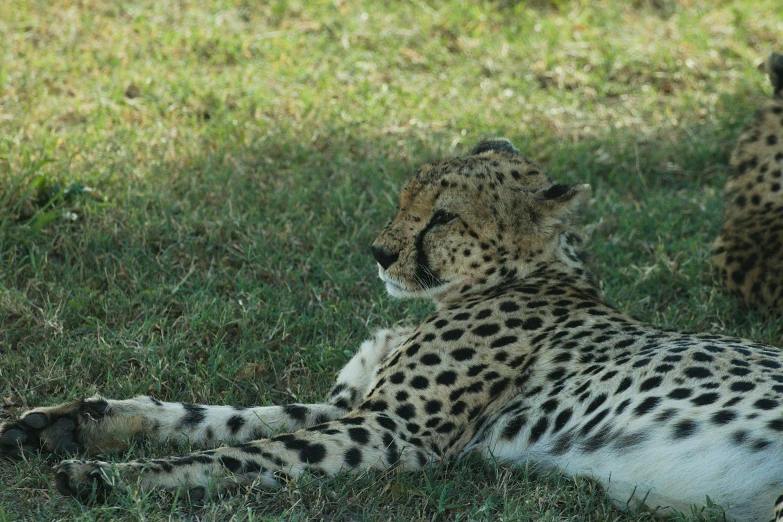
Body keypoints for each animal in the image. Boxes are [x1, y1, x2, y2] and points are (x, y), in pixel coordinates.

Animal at [4, 136, 783, 516]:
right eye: (404, 196)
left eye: (442, 217)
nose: (378, 252)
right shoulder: (354, 403)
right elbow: (229, 417)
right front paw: (70, 423)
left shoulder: (392, 431)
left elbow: (243, 453)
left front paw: (109, 477)